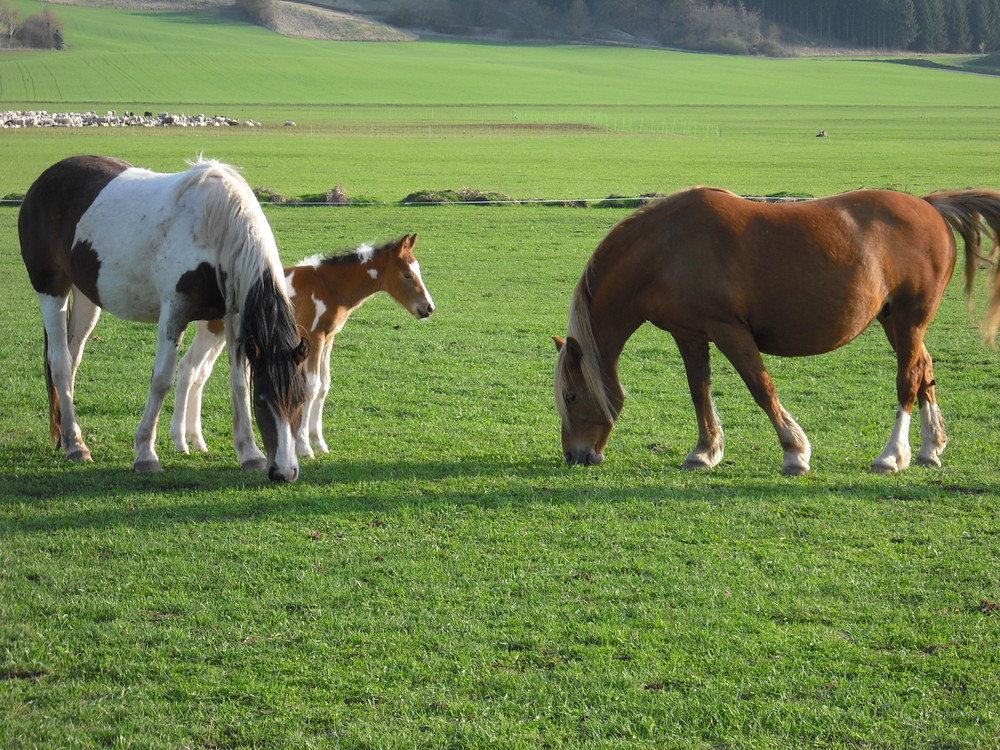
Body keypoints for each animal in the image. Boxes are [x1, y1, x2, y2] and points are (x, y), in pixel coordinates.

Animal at [19, 156, 308, 484]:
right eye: (262, 401)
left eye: (301, 399)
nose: (284, 471)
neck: (215, 225)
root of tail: (47, 177)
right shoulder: (174, 311)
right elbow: (162, 380)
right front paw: (145, 453)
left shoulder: (233, 316)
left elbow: (238, 382)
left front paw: (249, 453)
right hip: (51, 288)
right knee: (59, 361)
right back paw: (77, 447)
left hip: (86, 297)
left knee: (73, 359)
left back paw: (67, 438)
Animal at [171, 234, 434, 458]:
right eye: (407, 274)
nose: (429, 308)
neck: (330, 286)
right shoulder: (313, 337)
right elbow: (312, 386)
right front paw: (305, 446)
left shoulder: (328, 339)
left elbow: (324, 386)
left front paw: (319, 442)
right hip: (210, 332)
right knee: (187, 369)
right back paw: (181, 442)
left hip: (221, 335)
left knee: (200, 374)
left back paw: (197, 440)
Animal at [552, 189, 1000, 476]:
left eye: (572, 396)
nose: (574, 455)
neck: (667, 248)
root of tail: (929, 206)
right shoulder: (690, 334)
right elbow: (699, 390)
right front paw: (704, 452)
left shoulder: (729, 331)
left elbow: (761, 387)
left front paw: (794, 453)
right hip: (895, 320)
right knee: (925, 370)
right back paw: (929, 448)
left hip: (909, 319)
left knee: (907, 380)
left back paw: (892, 456)